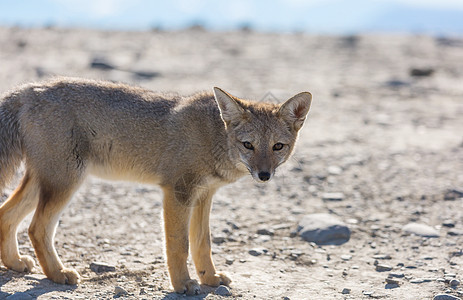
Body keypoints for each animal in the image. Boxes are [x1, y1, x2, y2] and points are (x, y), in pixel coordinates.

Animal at [0, 77, 314, 296]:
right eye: (248, 145)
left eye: (278, 147)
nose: (264, 175)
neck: (213, 135)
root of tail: (28, 89)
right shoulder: (178, 192)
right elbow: (179, 245)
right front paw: (183, 284)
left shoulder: (204, 195)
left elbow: (202, 244)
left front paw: (209, 278)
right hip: (65, 182)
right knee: (36, 228)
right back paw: (57, 274)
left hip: (44, 182)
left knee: (6, 216)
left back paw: (15, 263)